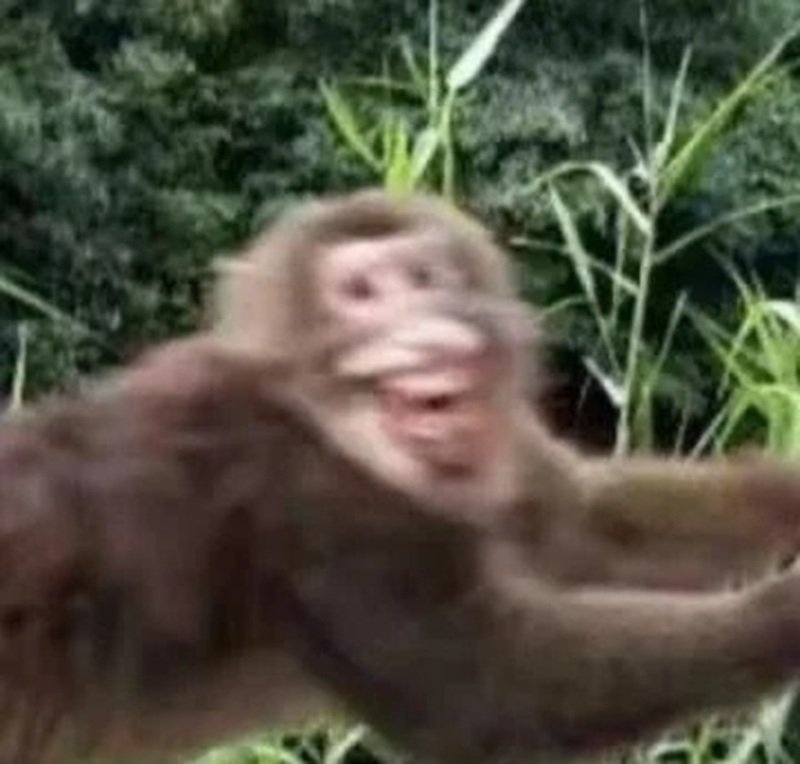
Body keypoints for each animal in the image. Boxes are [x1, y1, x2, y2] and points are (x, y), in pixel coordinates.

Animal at [2, 190, 800, 764]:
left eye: (423, 276)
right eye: (361, 292)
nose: (425, 323)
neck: (330, 430)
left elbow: (584, 524)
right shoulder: (302, 504)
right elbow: (496, 695)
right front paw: (786, 612)